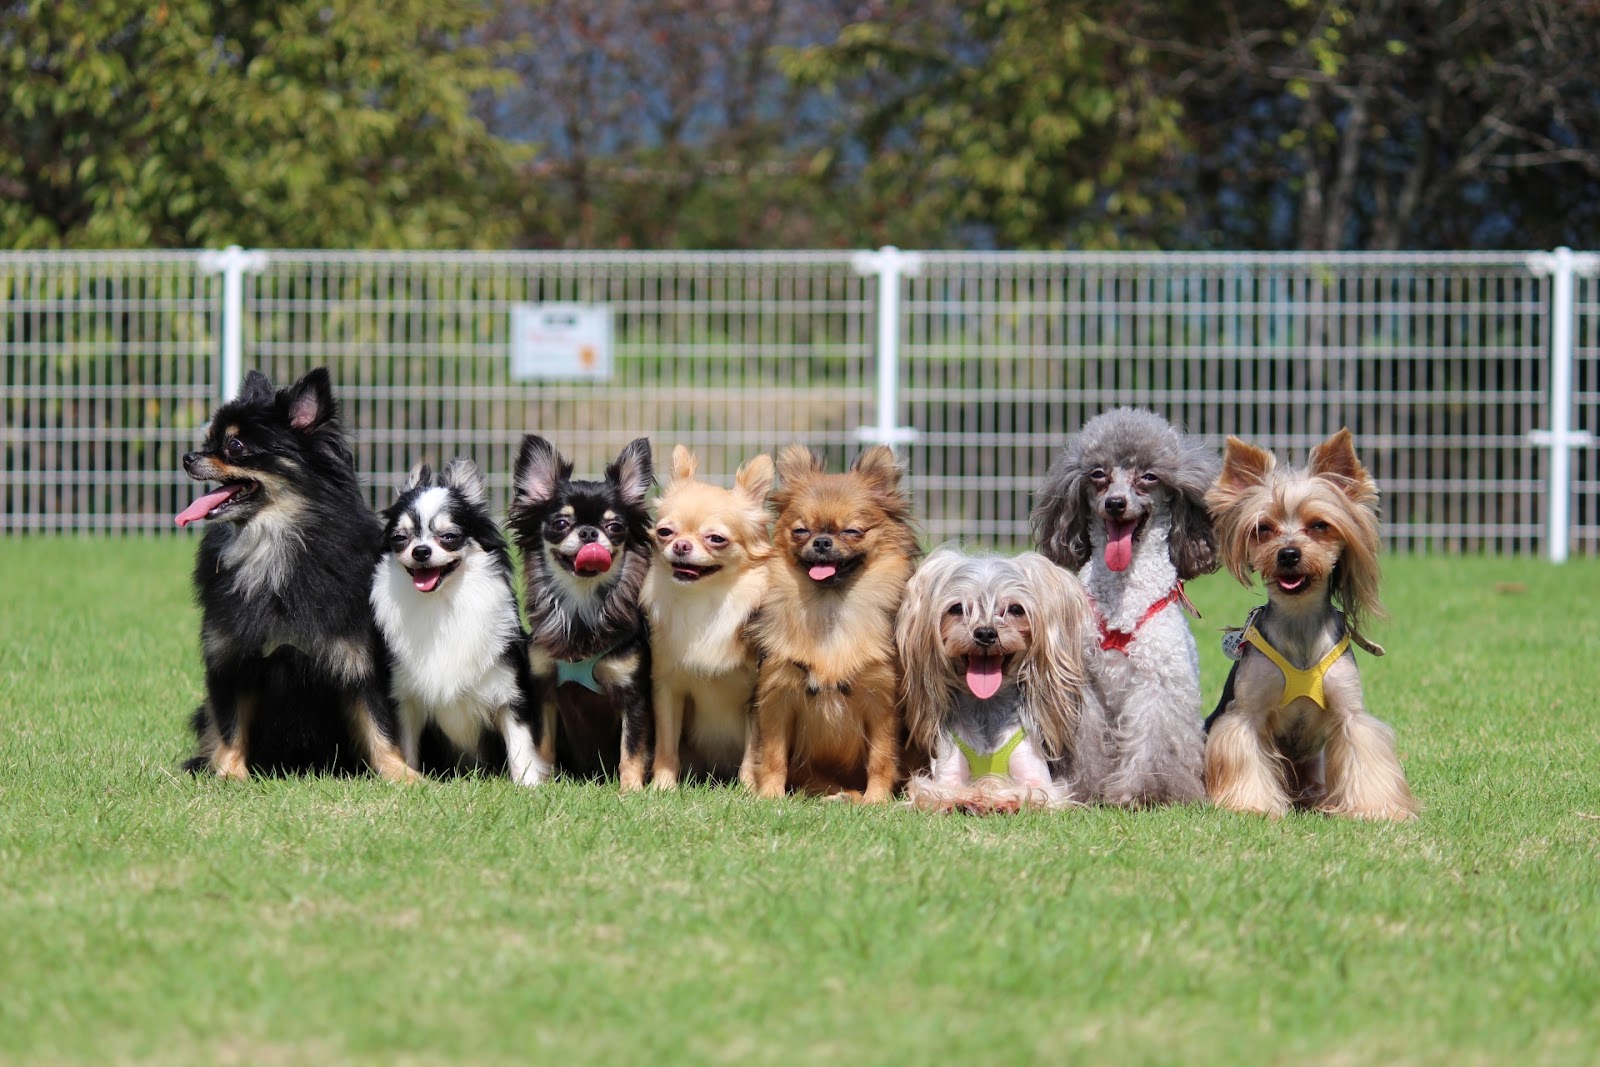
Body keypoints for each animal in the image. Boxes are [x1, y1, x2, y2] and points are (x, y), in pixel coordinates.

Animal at [369, 460, 550, 783]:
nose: (421, 551)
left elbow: (521, 747)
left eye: (449, 537)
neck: (441, 603)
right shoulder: (406, 701)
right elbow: (407, 746)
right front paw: (410, 780)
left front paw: (528, 786)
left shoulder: (510, 694)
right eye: (400, 539)